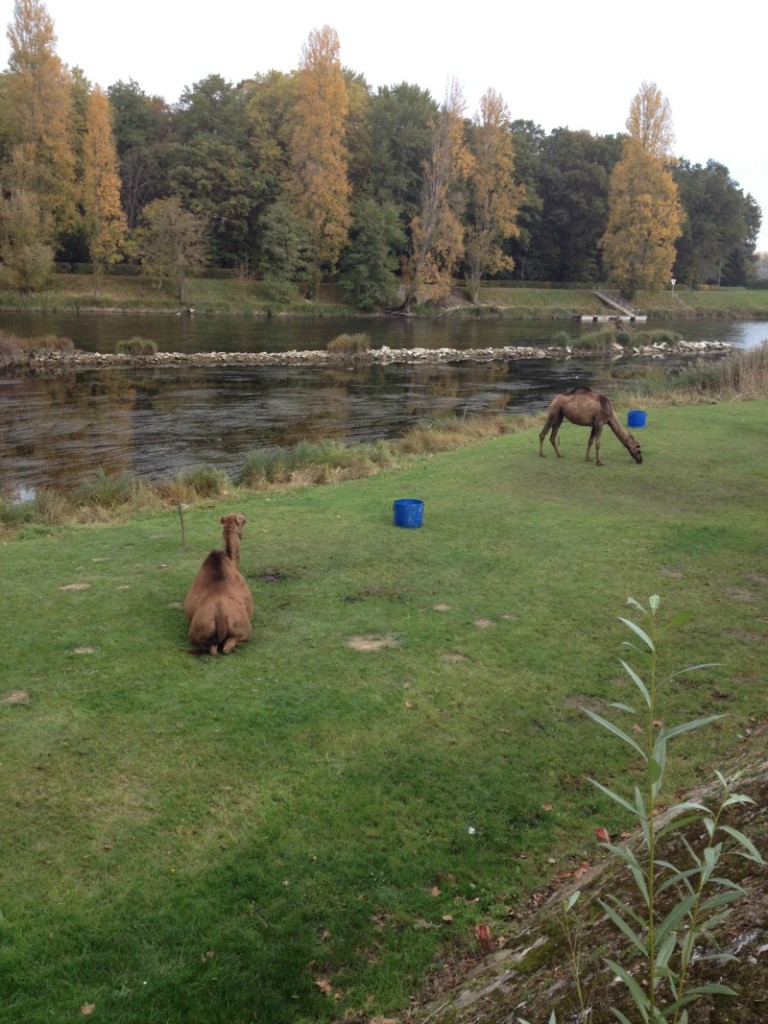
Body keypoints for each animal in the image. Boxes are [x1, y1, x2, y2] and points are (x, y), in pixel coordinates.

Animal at [185, 512, 253, 655]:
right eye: (243, 520)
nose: (245, 516)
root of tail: (220, 617)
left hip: (198, 633)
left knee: (212, 649)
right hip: (244, 630)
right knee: (228, 646)